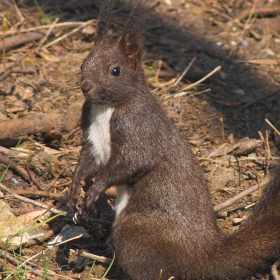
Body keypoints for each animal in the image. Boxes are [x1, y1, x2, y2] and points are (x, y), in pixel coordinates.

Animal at [67, 1, 280, 278]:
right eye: (83, 63)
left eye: (115, 70)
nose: (86, 86)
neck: (108, 107)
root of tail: (201, 257)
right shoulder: (92, 139)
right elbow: (87, 163)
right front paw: (74, 191)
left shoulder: (140, 128)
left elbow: (132, 162)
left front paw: (94, 191)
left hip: (135, 232)